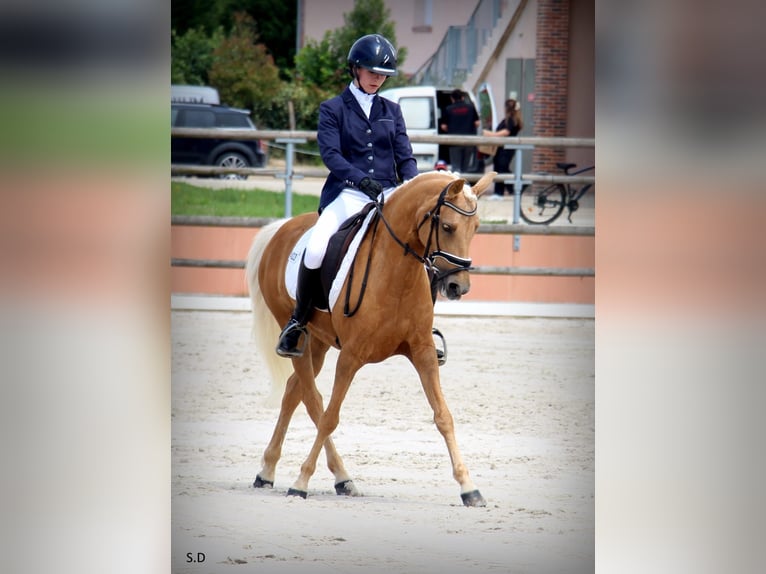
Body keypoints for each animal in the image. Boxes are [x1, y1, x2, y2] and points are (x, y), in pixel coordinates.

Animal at [248, 170, 498, 508]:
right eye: (447, 226)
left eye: (476, 228)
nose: (459, 286)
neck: (396, 272)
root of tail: (282, 228)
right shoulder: (351, 356)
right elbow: (330, 417)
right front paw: (301, 482)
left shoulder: (423, 351)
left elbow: (444, 416)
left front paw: (468, 487)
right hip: (299, 337)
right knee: (313, 400)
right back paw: (335, 476)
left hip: (319, 342)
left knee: (292, 393)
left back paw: (271, 471)